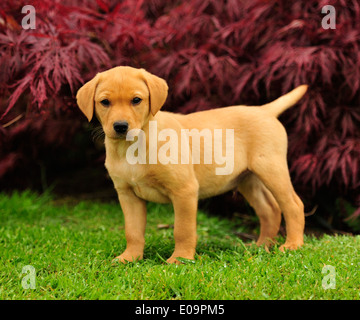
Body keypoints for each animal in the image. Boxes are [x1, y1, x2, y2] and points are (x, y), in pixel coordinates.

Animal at [76, 66, 306, 264]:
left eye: (136, 100)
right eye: (105, 102)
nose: (121, 126)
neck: (132, 147)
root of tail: (264, 110)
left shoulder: (184, 190)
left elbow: (183, 230)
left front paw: (181, 259)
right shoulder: (127, 194)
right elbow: (132, 231)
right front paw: (129, 257)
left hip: (271, 168)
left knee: (293, 205)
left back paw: (292, 245)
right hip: (247, 179)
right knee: (270, 209)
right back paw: (262, 246)